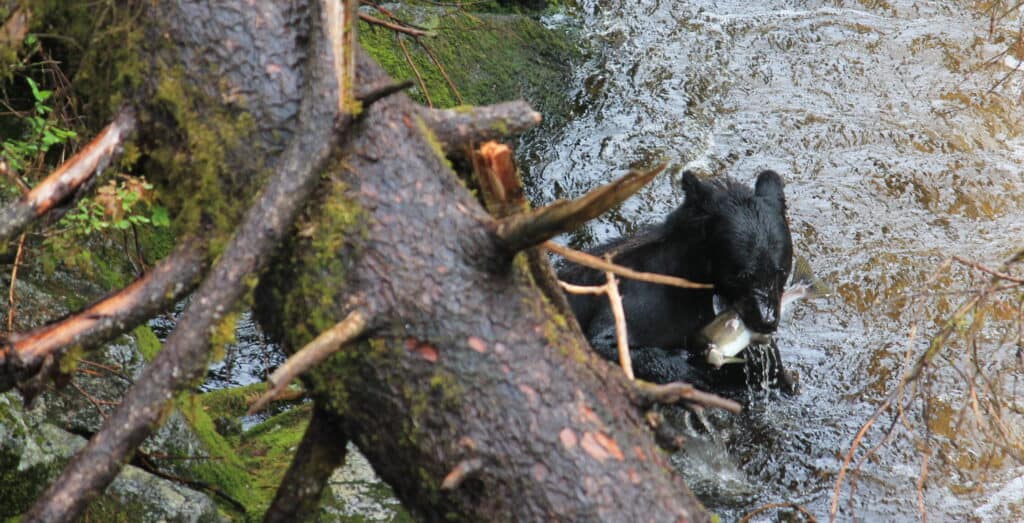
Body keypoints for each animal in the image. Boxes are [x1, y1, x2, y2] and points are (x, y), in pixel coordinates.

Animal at [558, 170, 795, 391]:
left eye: (781, 272)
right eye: (742, 275)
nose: (767, 321)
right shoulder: (634, 298)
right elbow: (607, 342)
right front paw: (695, 373)